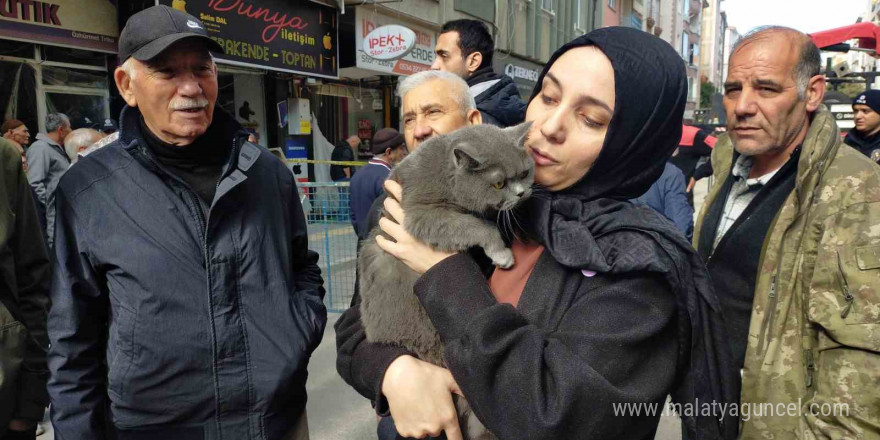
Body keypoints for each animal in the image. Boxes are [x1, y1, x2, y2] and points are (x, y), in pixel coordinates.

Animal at [360, 121, 536, 440]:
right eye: (498, 184)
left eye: (524, 173)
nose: (521, 194)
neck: (447, 174)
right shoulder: (421, 213)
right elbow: (477, 226)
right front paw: (502, 254)